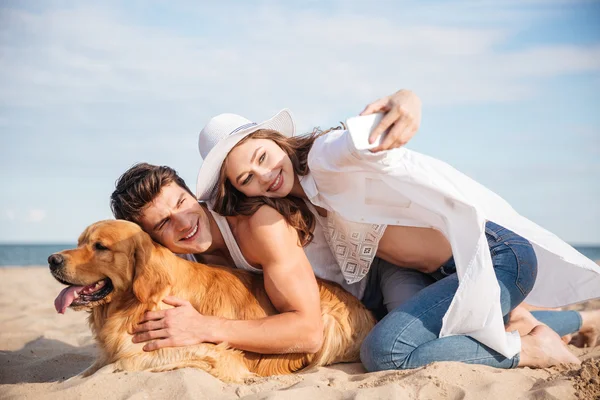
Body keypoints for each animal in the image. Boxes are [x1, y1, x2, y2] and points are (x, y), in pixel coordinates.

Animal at [49, 220, 376, 382]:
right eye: (79, 242)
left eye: (100, 246)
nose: (52, 259)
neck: (135, 305)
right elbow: (83, 373)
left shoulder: (208, 349)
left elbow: (126, 362)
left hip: (327, 322)